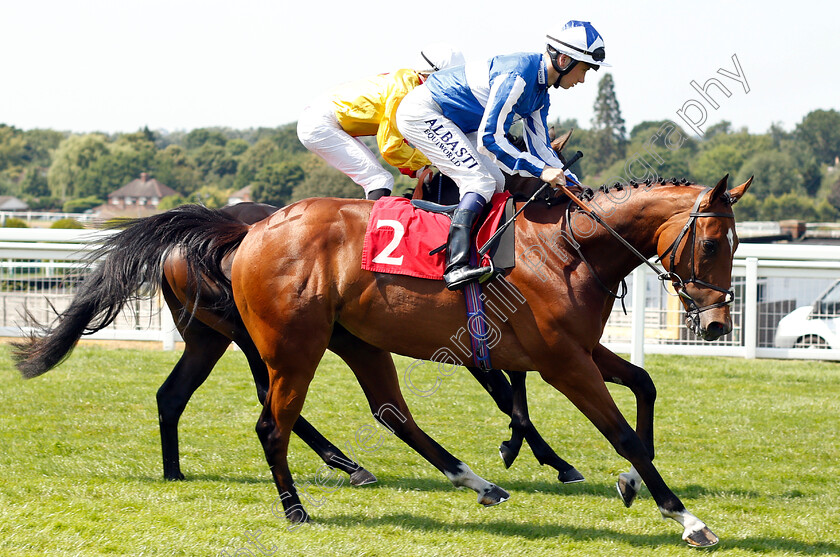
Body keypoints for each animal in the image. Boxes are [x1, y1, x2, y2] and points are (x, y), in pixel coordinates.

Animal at [226, 173, 752, 544]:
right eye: (710, 244)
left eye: (736, 244)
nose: (718, 324)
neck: (571, 249)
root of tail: (252, 231)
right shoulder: (563, 363)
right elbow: (624, 436)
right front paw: (686, 518)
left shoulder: (580, 350)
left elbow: (644, 383)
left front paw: (629, 483)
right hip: (295, 350)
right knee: (273, 426)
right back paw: (295, 509)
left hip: (358, 341)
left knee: (393, 415)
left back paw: (477, 483)